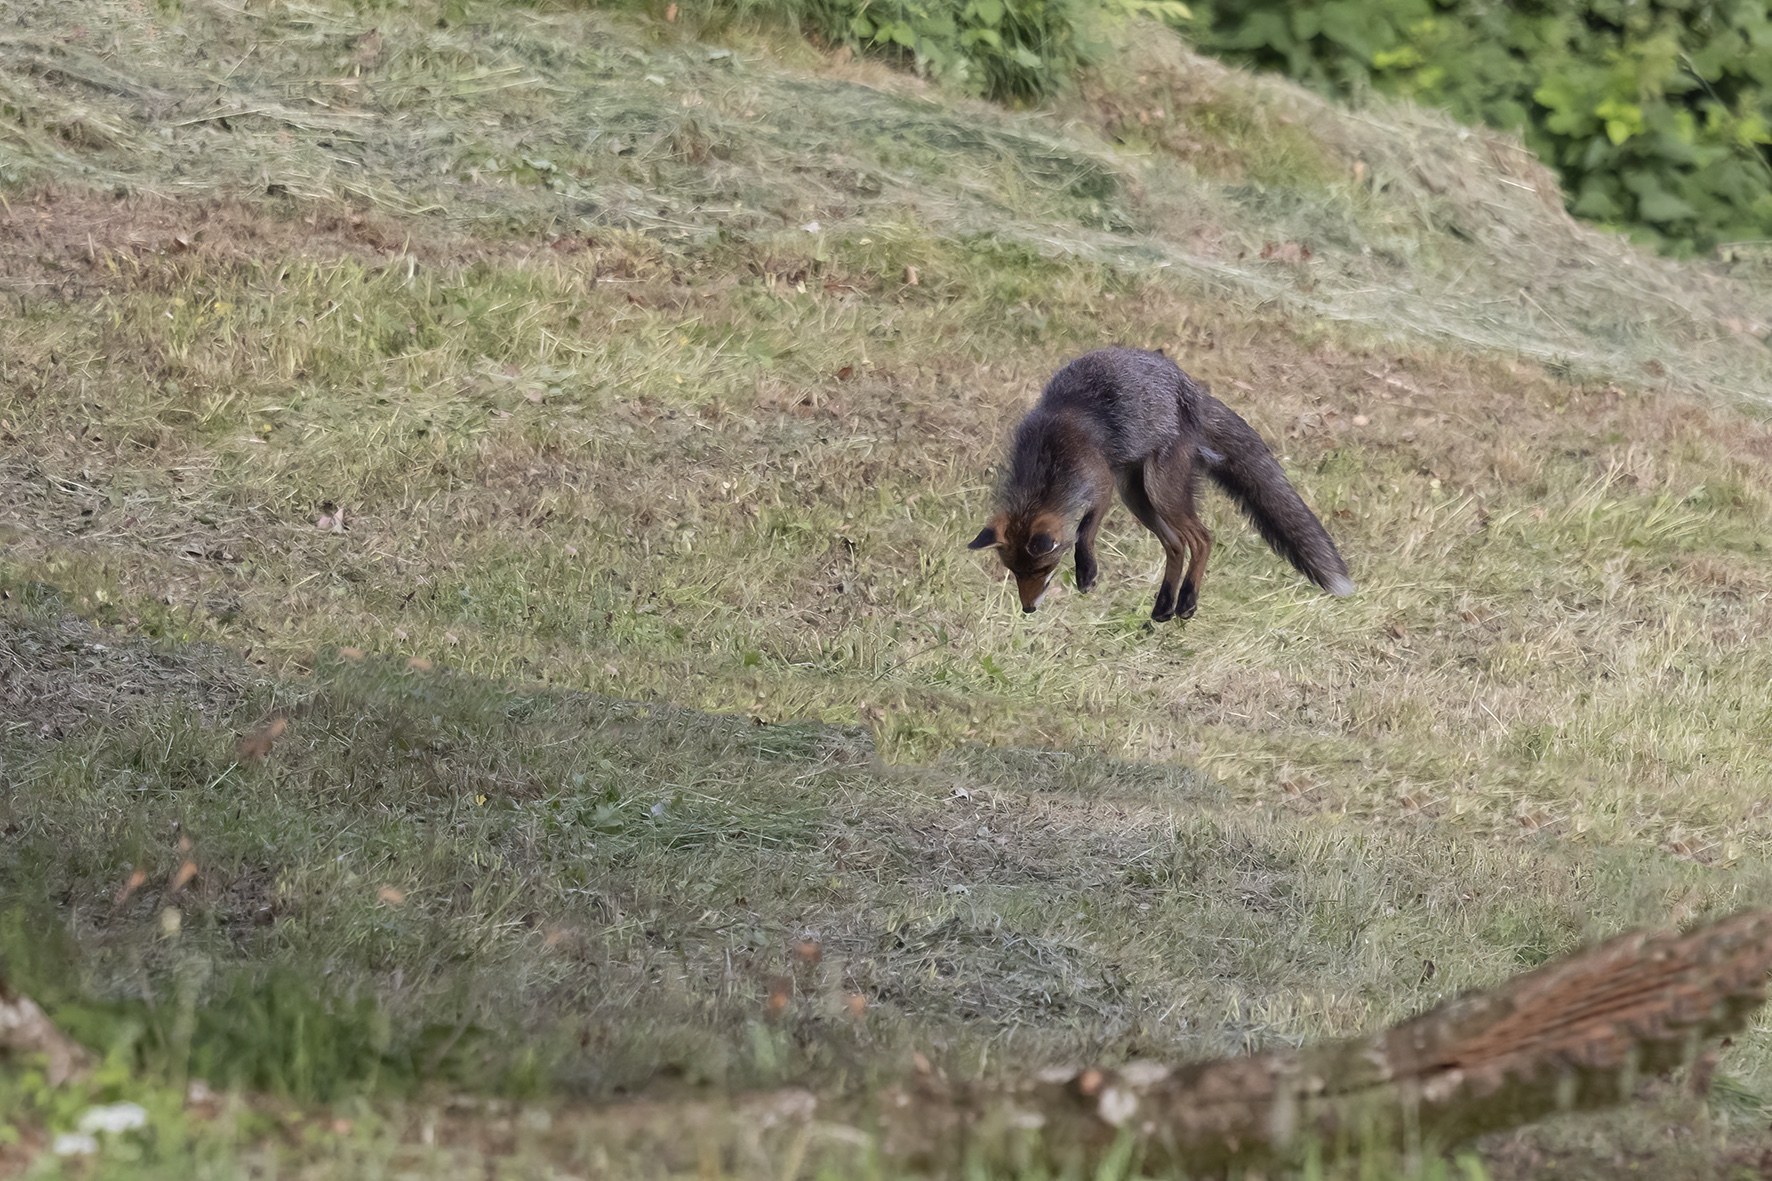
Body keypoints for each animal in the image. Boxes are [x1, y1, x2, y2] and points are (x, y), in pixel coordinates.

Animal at [969, 347, 1354, 620]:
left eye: (1043, 568)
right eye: (1014, 572)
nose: (1028, 608)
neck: (1047, 457)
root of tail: (1191, 389)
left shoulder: (1101, 482)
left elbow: (1084, 532)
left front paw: (1087, 572)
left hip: (1159, 491)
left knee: (1202, 538)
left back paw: (1187, 601)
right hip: (1138, 496)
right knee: (1176, 545)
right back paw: (1165, 605)